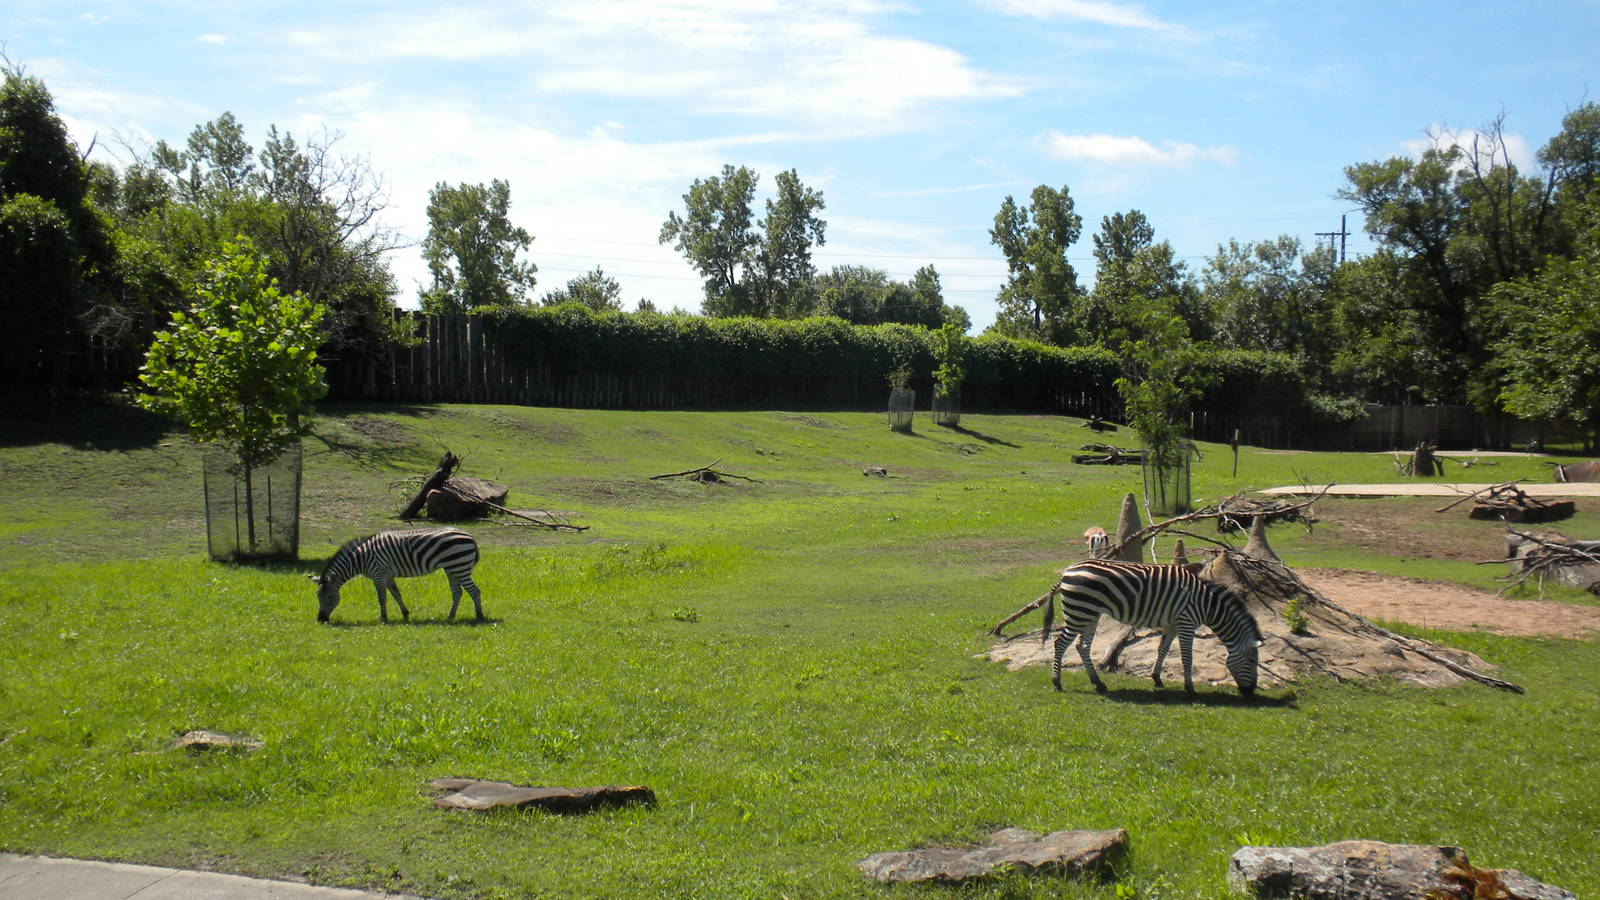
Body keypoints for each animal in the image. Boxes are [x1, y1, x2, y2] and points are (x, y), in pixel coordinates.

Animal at [311, 528, 484, 623]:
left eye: (330, 597)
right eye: (317, 596)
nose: (320, 620)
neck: (361, 558)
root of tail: (469, 536)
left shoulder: (379, 573)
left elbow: (382, 598)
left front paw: (383, 618)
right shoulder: (387, 575)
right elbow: (396, 594)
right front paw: (405, 614)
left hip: (459, 566)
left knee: (474, 591)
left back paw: (479, 616)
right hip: (451, 568)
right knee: (457, 592)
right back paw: (450, 617)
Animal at [1042, 559, 1262, 696]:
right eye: (1252, 661)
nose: (1250, 692)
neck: (1208, 604)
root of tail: (1067, 571)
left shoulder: (1172, 625)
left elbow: (1162, 649)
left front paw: (1156, 678)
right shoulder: (1187, 622)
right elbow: (1187, 657)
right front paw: (1189, 688)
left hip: (1090, 614)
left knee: (1082, 647)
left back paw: (1098, 683)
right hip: (1079, 612)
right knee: (1060, 643)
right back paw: (1057, 682)